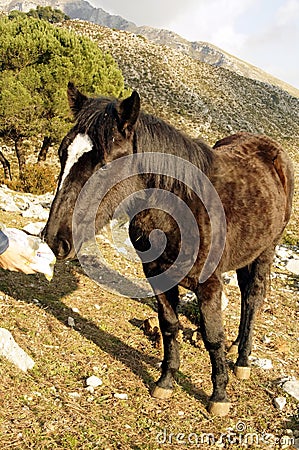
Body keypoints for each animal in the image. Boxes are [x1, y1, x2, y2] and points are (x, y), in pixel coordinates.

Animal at [42, 83, 296, 414]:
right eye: (63, 154)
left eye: (105, 163)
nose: (55, 239)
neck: (180, 206)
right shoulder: (156, 274)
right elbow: (169, 324)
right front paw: (166, 380)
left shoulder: (209, 284)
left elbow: (212, 336)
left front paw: (219, 396)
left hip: (267, 251)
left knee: (253, 299)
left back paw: (242, 361)